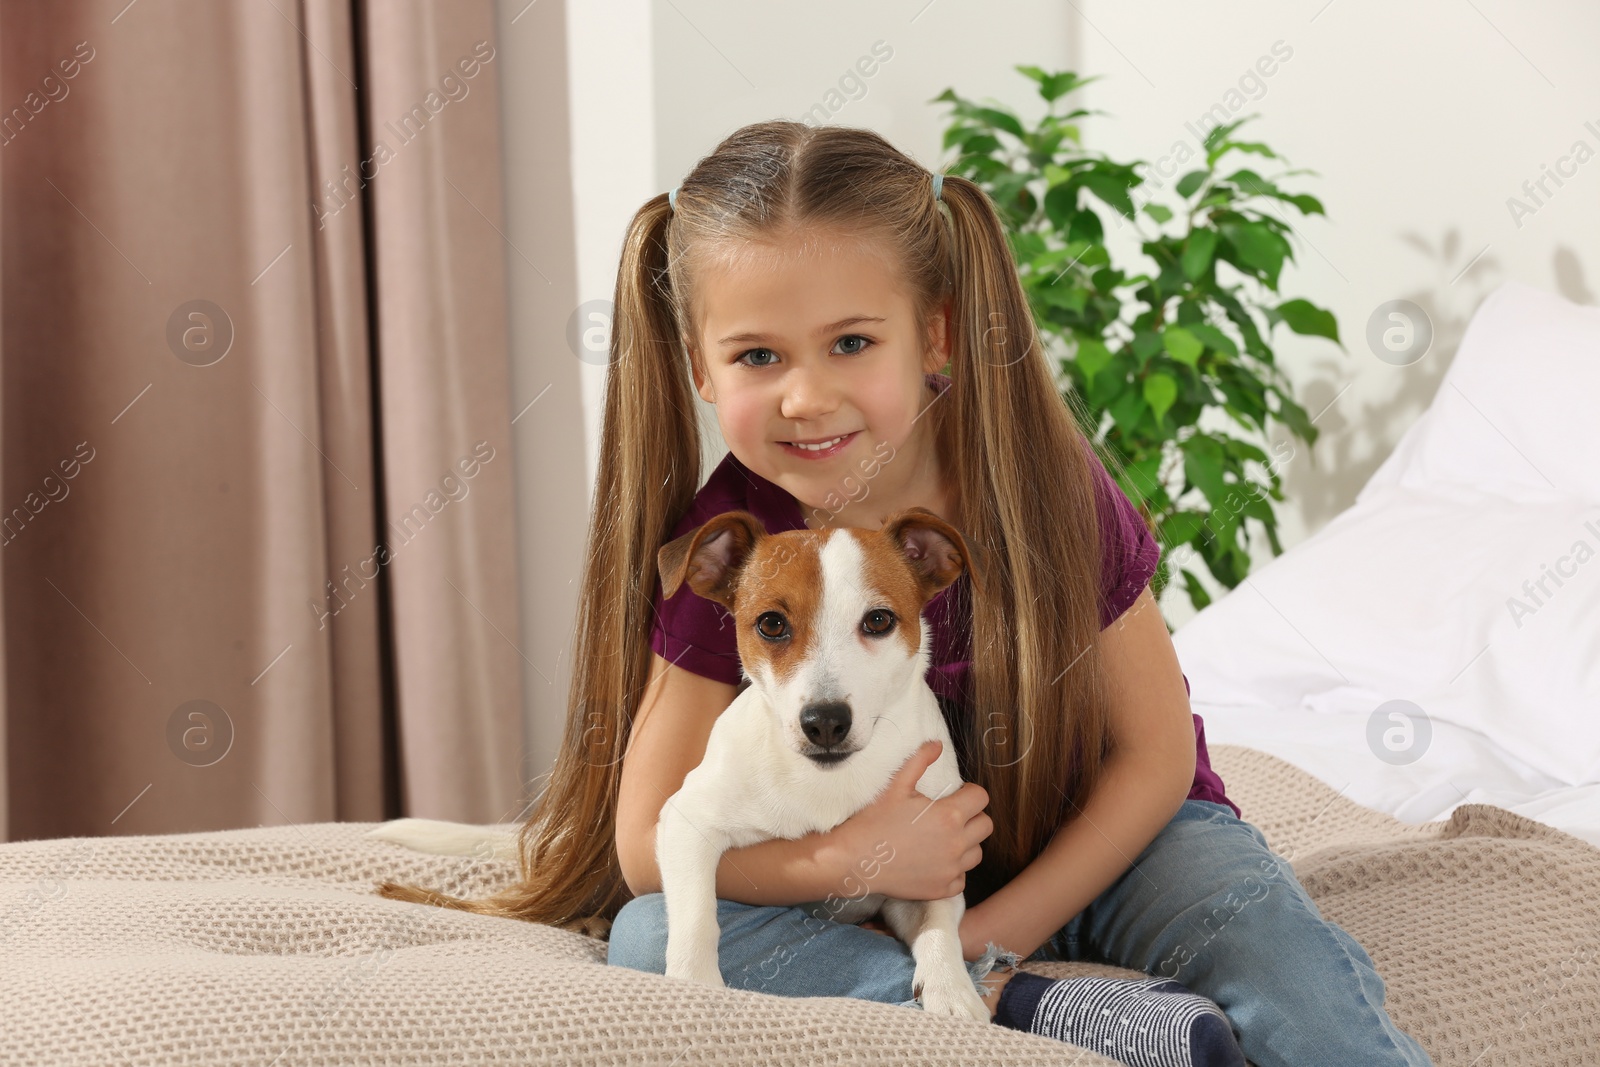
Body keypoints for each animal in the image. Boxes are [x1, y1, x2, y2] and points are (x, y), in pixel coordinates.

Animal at [649, 505, 985, 1023]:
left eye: (879, 620)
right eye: (771, 624)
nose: (825, 722)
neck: (831, 781)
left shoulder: (936, 867)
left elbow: (938, 929)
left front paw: (952, 990)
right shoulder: (687, 821)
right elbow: (696, 915)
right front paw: (694, 987)